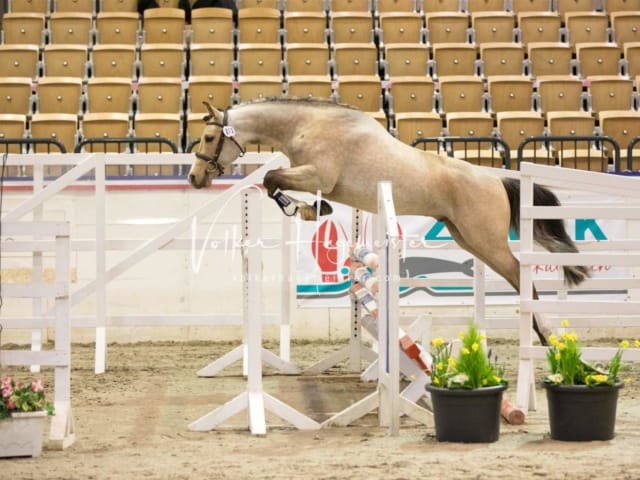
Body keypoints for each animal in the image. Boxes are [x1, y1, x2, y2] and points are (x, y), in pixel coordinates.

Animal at [186, 98, 592, 344]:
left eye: (208, 136)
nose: (194, 178)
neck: (308, 124)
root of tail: (495, 179)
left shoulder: (318, 176)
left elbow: (273, 179)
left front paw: (304, 209)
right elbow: (276, 183)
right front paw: (314, 210)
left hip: (487, 241)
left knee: (523, 278)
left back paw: (545, 337)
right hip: (466, 237)